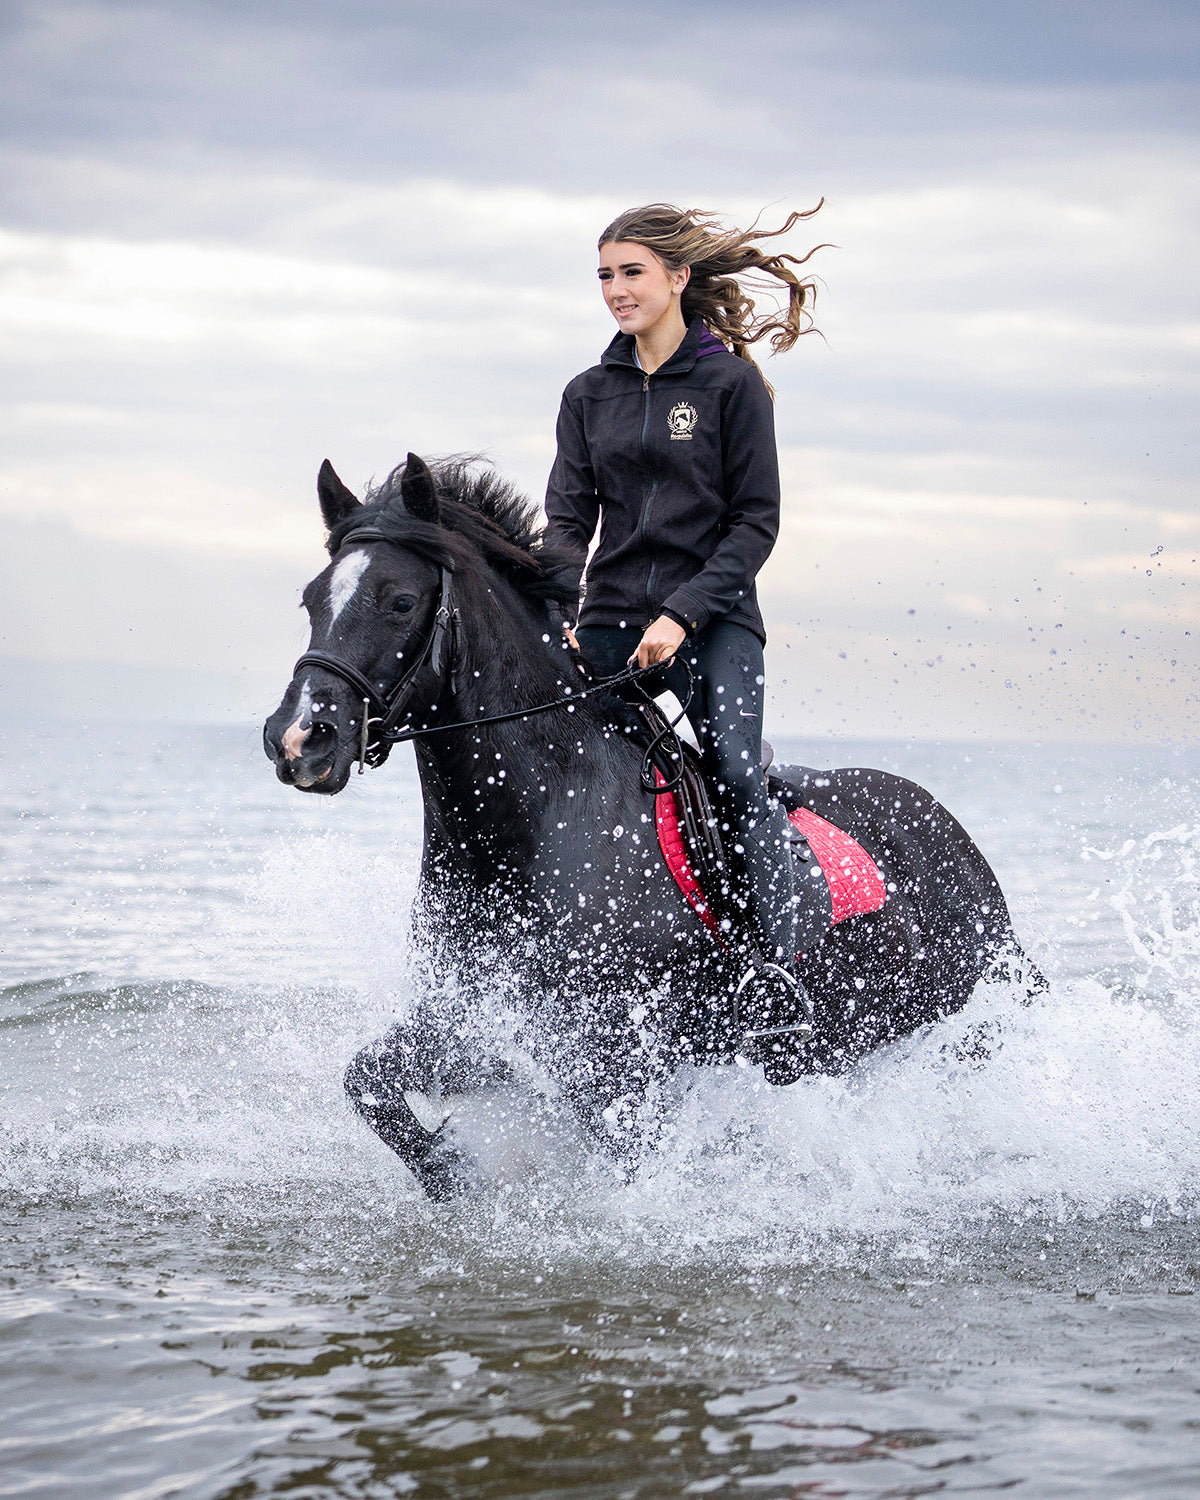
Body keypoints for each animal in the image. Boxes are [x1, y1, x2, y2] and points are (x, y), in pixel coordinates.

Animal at [264, 454, 1036, 1199]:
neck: (545, 823)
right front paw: (452, 1171)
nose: (299, 738)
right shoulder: (487, 1024)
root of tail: (950, 834)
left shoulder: (619, 1059)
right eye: (310, 599)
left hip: (967, 1023)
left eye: (399, 601)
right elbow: (369, 1081)